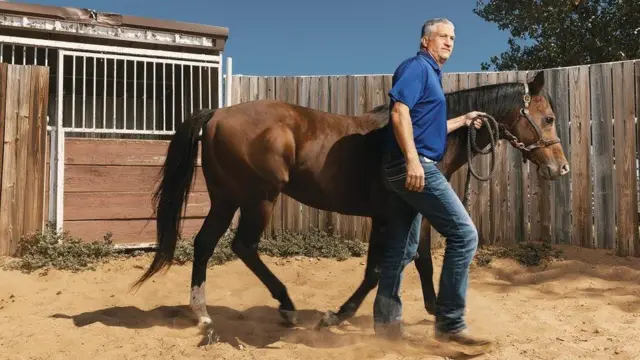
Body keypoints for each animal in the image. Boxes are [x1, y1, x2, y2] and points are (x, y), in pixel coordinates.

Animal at [131, 71, 568, 338]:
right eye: (548, 118)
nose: (560, 167)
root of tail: (218, 114)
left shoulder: (403, 214)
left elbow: (418, 260)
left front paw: (431, 308)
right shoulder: (394, 215)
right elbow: (384, 267)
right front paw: (338, 315)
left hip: (226, 198)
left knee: (205, 244)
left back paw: (202, 312)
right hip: (259, 198)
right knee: (243, 246)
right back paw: (286, 306)